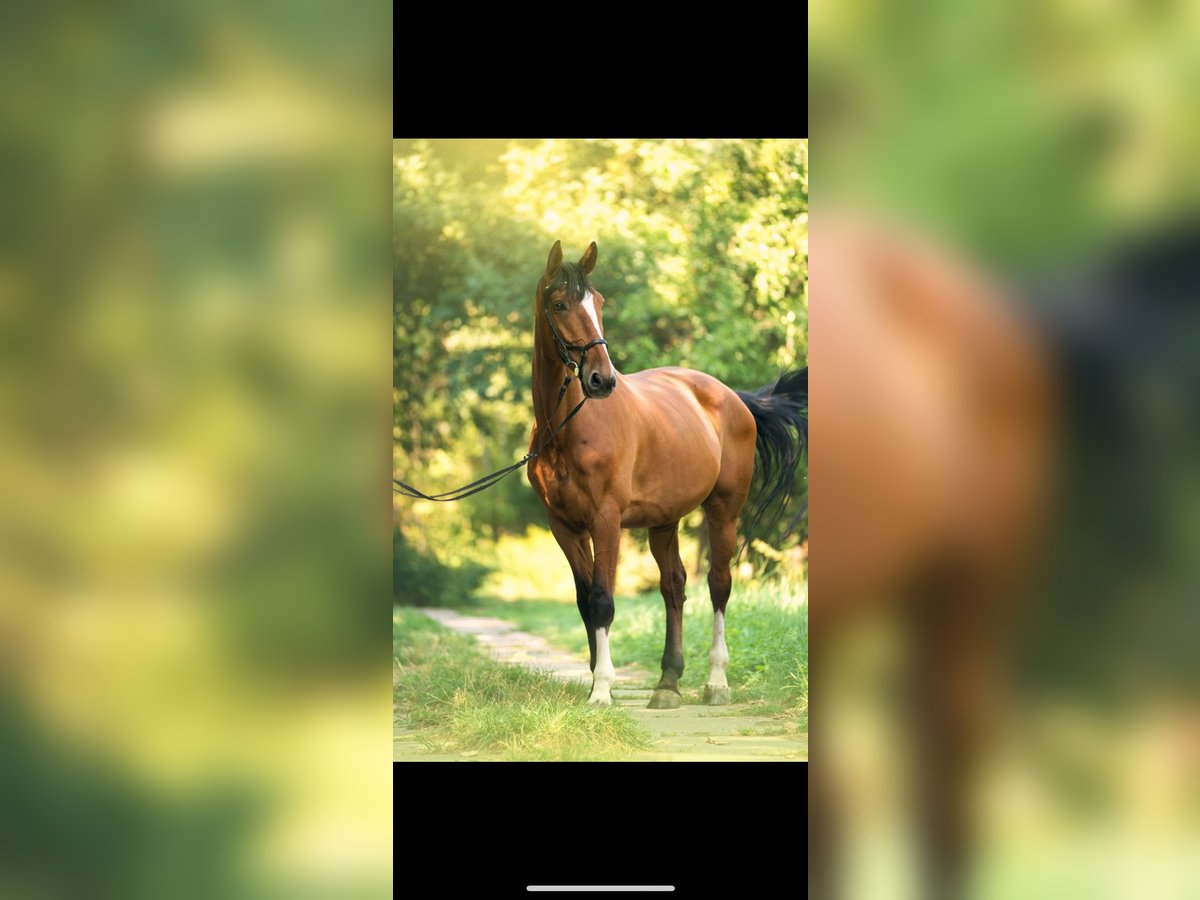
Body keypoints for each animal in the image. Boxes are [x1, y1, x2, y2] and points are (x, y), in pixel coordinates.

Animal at [525, 240, 807, 709]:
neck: (566, 428)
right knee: (674, 586)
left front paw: (602, 689)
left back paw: (716, 682)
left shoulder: (606, 520)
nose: (602, 380)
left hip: (723, 511)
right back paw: (668, 683)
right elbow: (585, 601)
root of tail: (735, 398)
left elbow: (602, 600)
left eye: (599, 303)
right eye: (560, 303)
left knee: (718, 585)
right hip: (664, 520)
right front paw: (595, 681)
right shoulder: (563, 525)